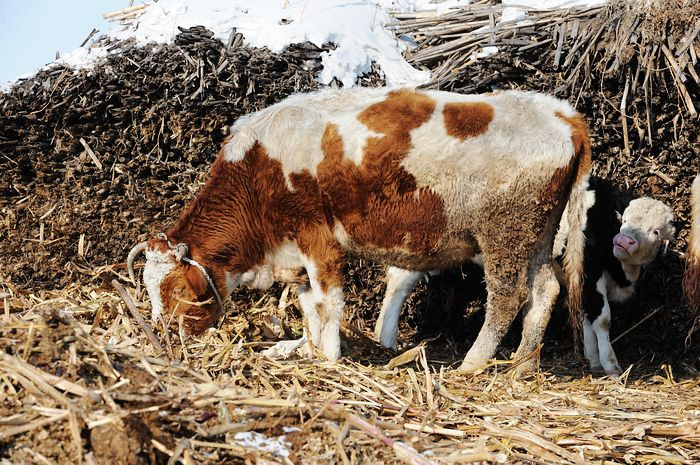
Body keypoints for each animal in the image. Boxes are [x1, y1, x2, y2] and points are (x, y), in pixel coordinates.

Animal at [127, 86, 592, 370]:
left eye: (178, 289)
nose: (164, 339)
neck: (260, 167)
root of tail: (562, 114)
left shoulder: (317, 238)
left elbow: (328, 303)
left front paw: (329, 356)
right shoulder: (295, 254)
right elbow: (308, 304)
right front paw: (305, 347)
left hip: (503, 234)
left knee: (507, 298)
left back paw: (471, 364)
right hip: (536, 234)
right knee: (545, 289)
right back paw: (523, 365)